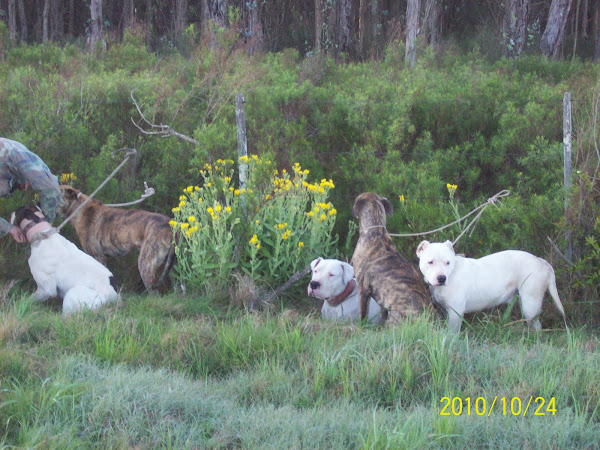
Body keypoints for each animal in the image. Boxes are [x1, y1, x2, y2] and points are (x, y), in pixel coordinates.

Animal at [352, 192, 432, 322]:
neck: (377, 231)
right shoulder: (383, 300)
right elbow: (382, 314)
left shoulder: (362, 289)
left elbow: (363, 315)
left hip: (395, 314)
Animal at [414, 241, 564, 332]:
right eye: (430, 262)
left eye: (448, 263)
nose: (441, 278)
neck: (452, 274)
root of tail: (540, 261)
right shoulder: (446, 310)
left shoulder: (456, 312)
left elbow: (452, 332)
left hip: (530, 304)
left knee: (536, 325)